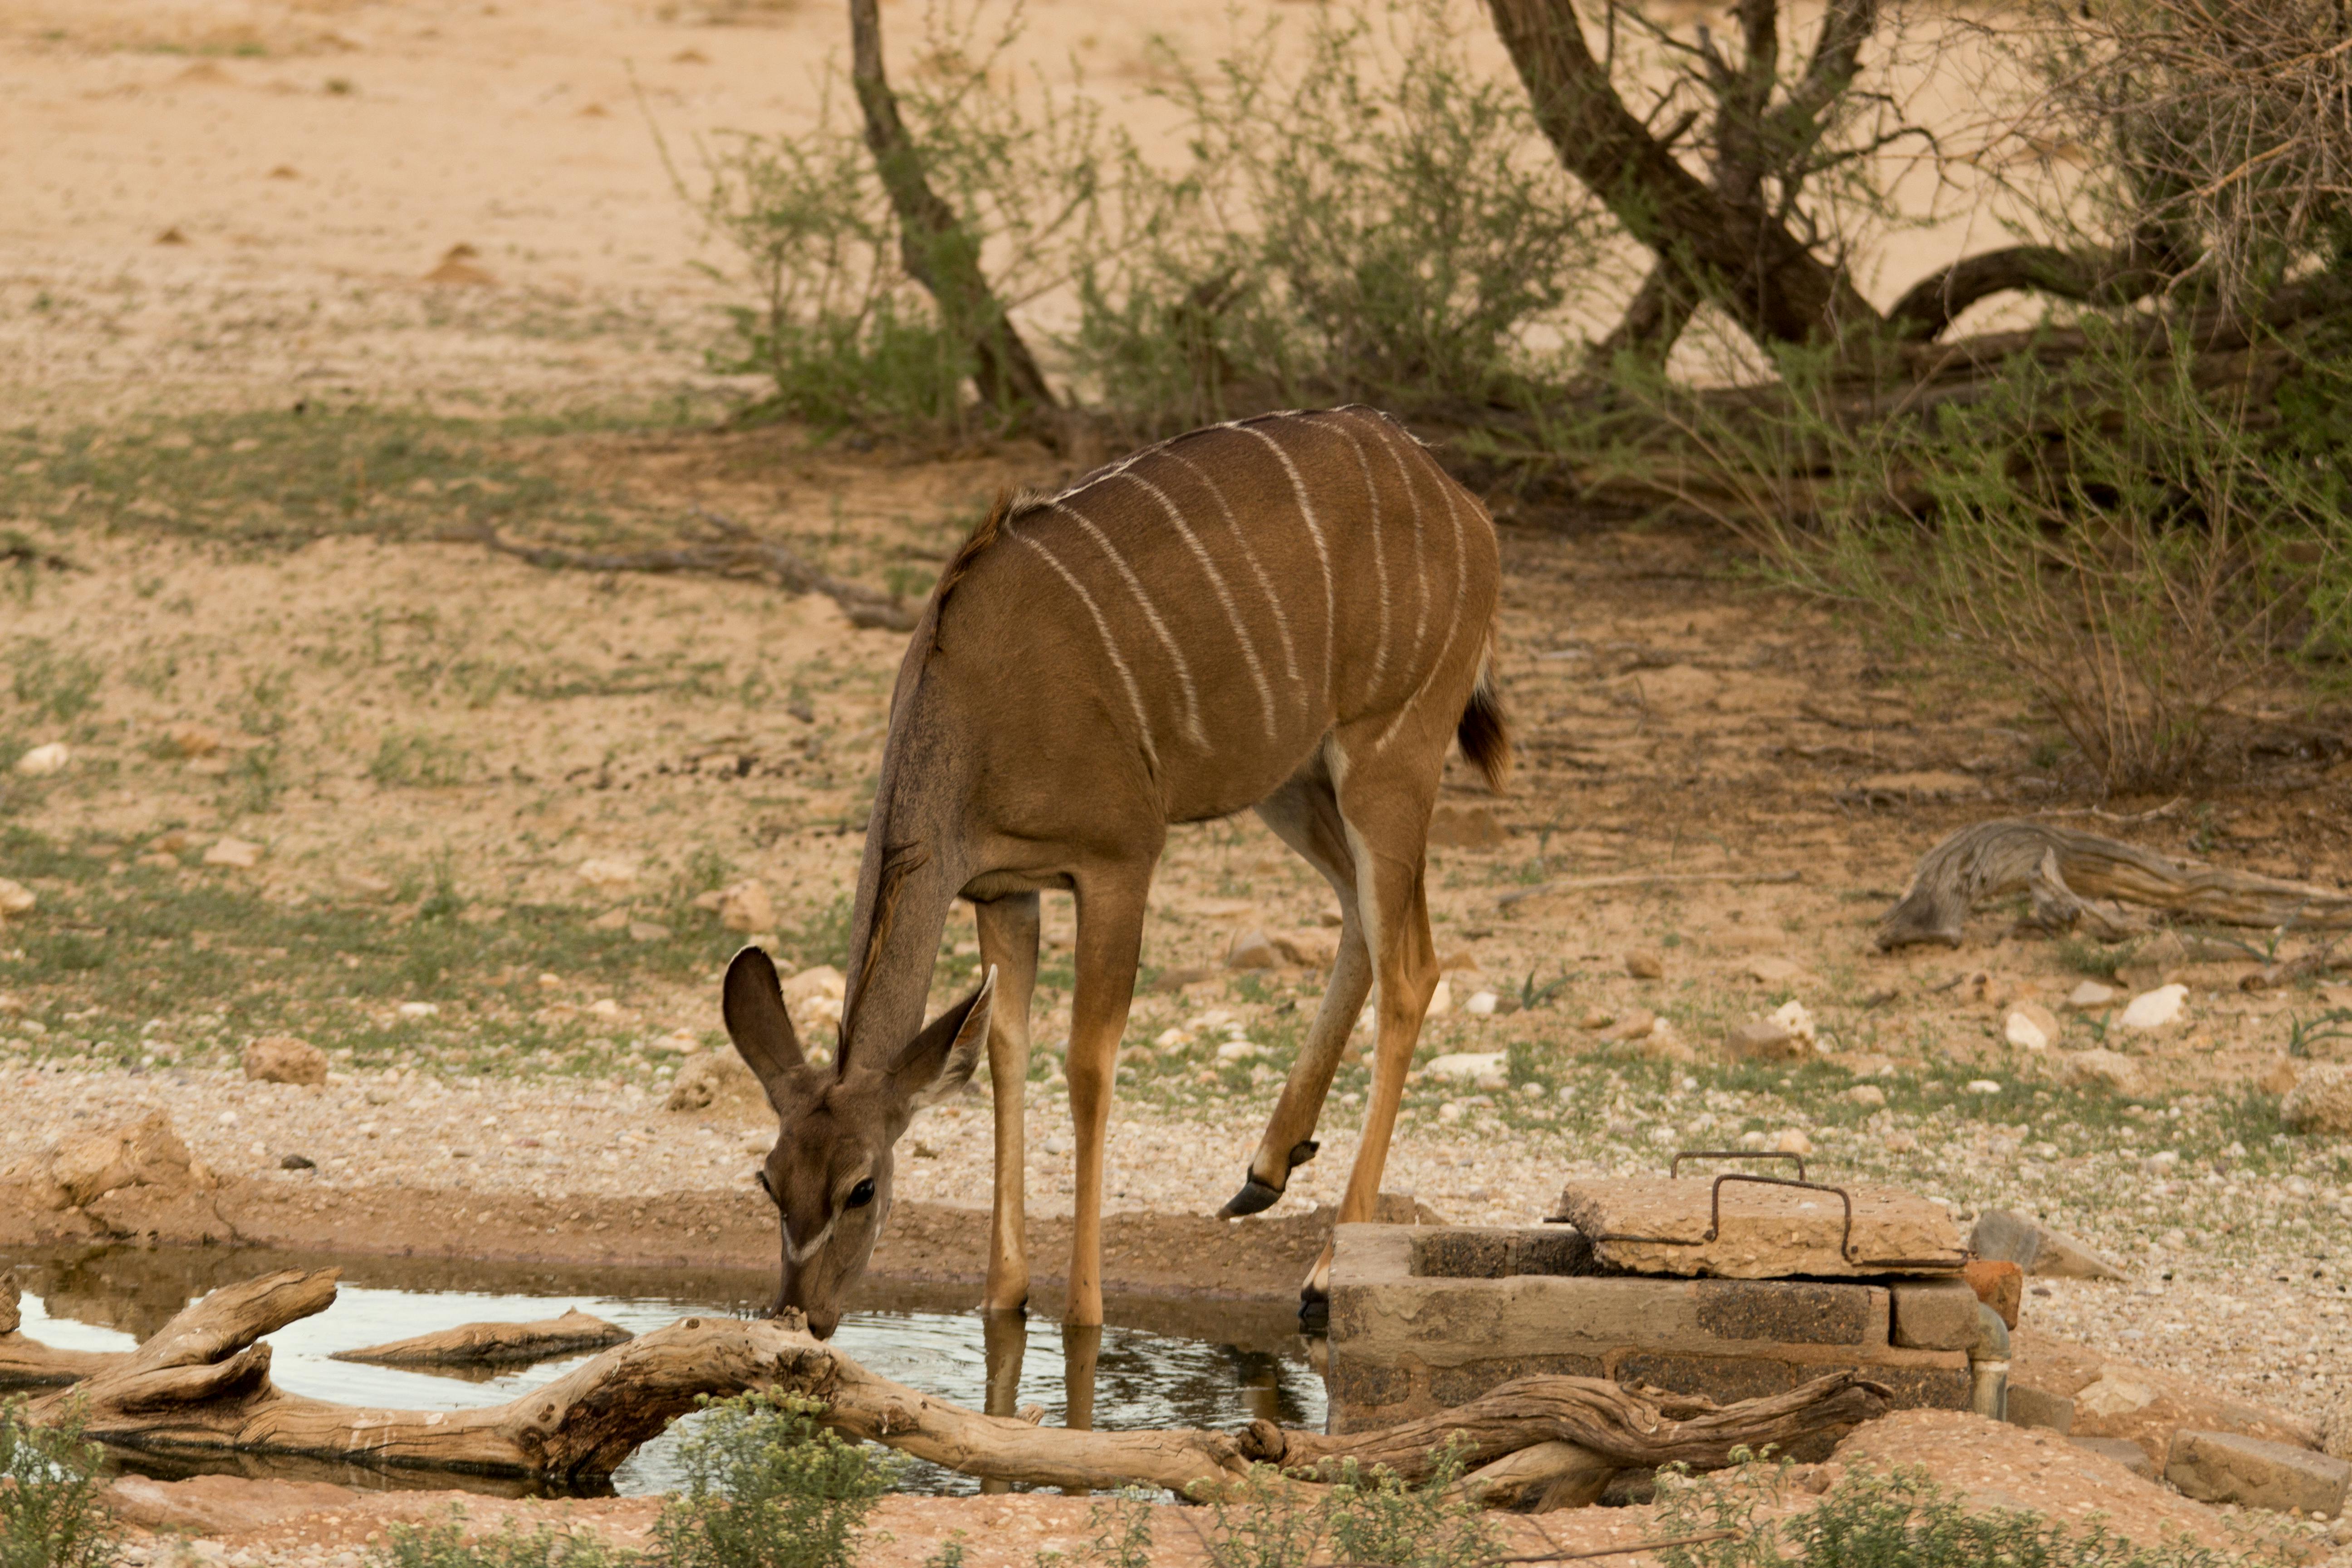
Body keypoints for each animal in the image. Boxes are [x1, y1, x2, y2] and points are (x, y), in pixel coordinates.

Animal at [715, 404, 1514, 1335]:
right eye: (769, 1179)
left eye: (862, 1187)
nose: (797, 1313)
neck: (969, 702)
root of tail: (1463, 504)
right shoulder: (1003, 887)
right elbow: (1007, 1050)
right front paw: (1004, 1296)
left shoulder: (1120, 859)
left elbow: (1087, 1062)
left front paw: (1083, 1313)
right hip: (1289, 777)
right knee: (1360, 916)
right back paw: (1264, 1170)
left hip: (1389, 751)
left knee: (1411, 966)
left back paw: (1324, 1276)